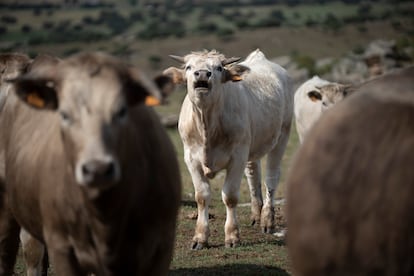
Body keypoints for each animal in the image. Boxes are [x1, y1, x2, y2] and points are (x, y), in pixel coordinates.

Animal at [163, 48, 292, 249]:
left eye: (218, 67)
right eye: (189, 67)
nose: (202, 73)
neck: (207, 124)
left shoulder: (237, 156)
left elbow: (230, 196)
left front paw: (232, 236)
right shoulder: (191, 158)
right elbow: (201, 196)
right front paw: (200, 237)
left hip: (282, 136)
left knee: (271, 177)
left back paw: (267, 220)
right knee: (253, 174)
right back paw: (256, 214)